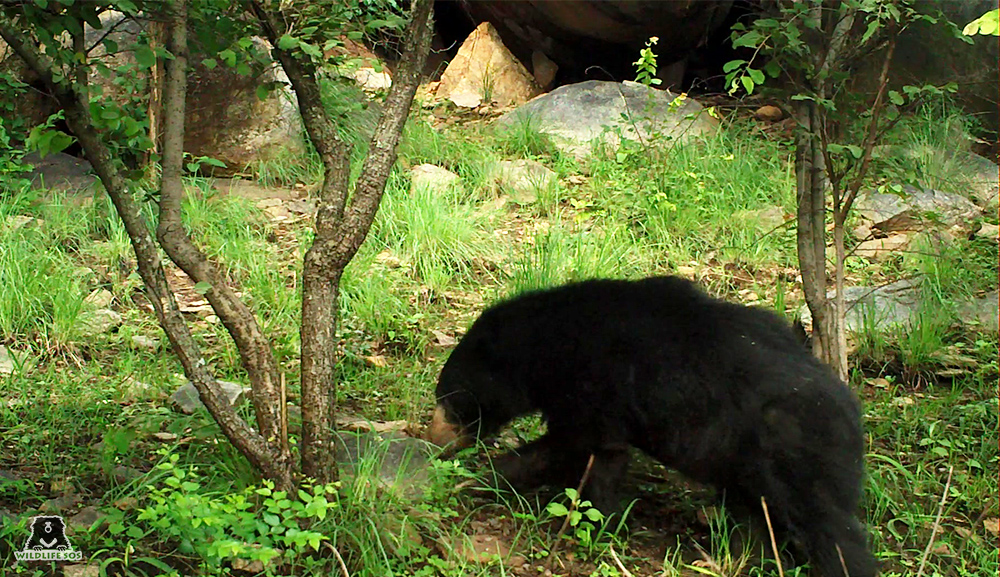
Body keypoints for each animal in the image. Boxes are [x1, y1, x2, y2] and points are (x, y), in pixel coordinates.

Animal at [430, 276, 876, 572]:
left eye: (450, 401)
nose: (436, 441)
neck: (544, 346)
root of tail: (853, 415)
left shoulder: (595, 383)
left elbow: (580, 448)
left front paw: (485, 479)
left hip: (791, 449)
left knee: (830, 528)